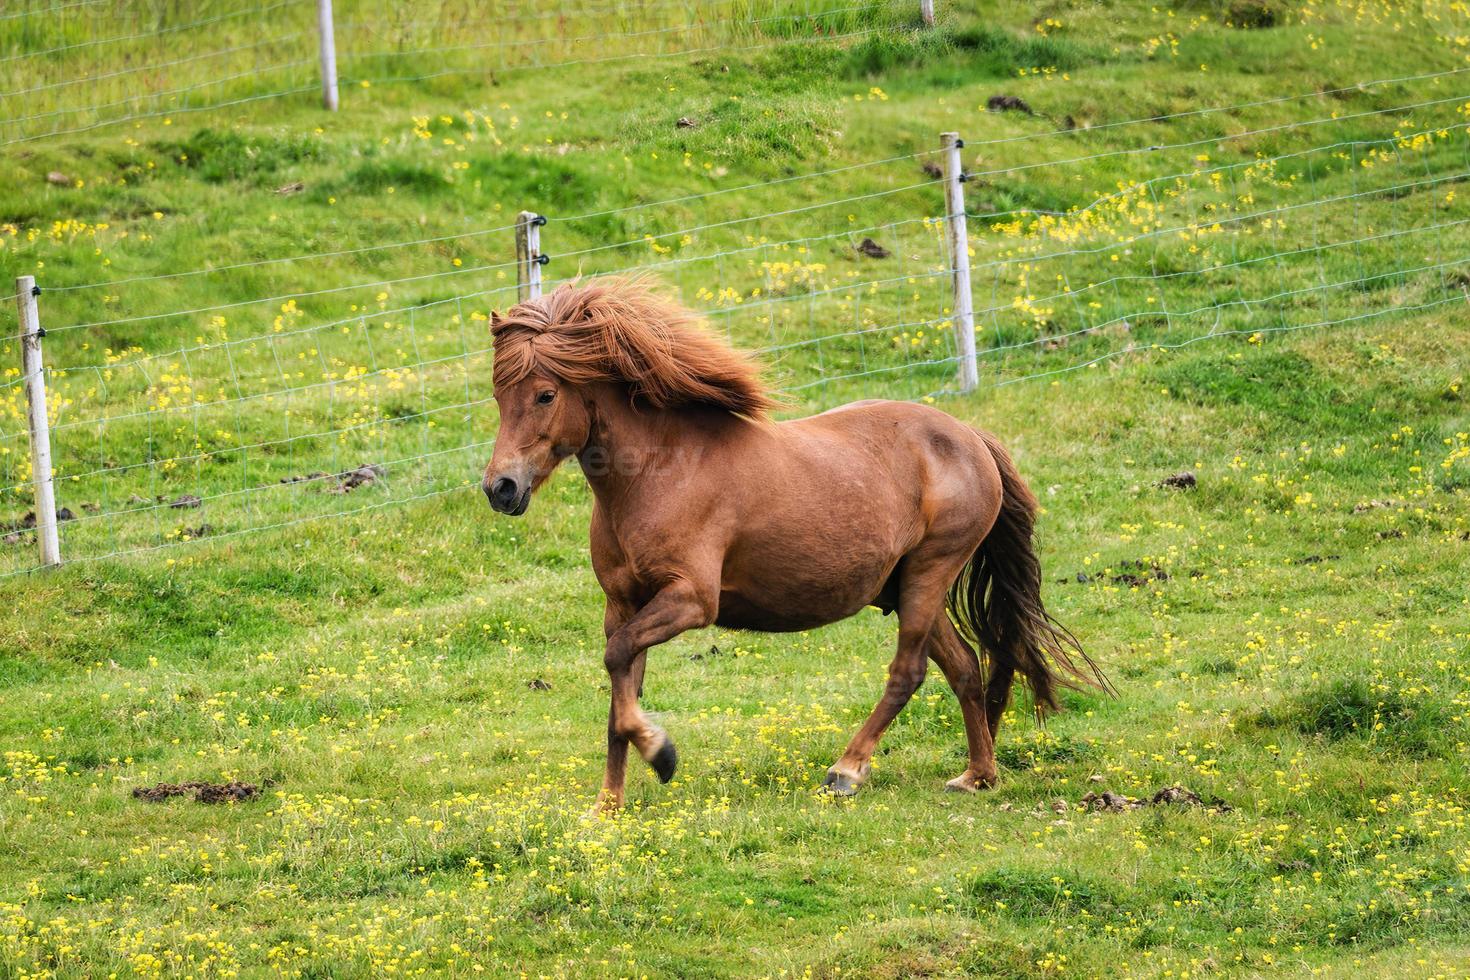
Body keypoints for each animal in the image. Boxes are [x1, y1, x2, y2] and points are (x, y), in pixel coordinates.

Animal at [482, 279, 1105, 811]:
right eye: (497, 397)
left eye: (544, 395)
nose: (500, 488)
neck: (660, 472)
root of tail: (970, 436)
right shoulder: (623, 606)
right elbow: (619, 687)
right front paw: (608, 806)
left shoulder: (691, 600)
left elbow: (617, 666)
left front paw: (661, 753)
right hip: (907, 587)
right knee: (966, 671)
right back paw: (977, 775)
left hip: (930, 573)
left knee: (909, 673)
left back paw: (848, 770)